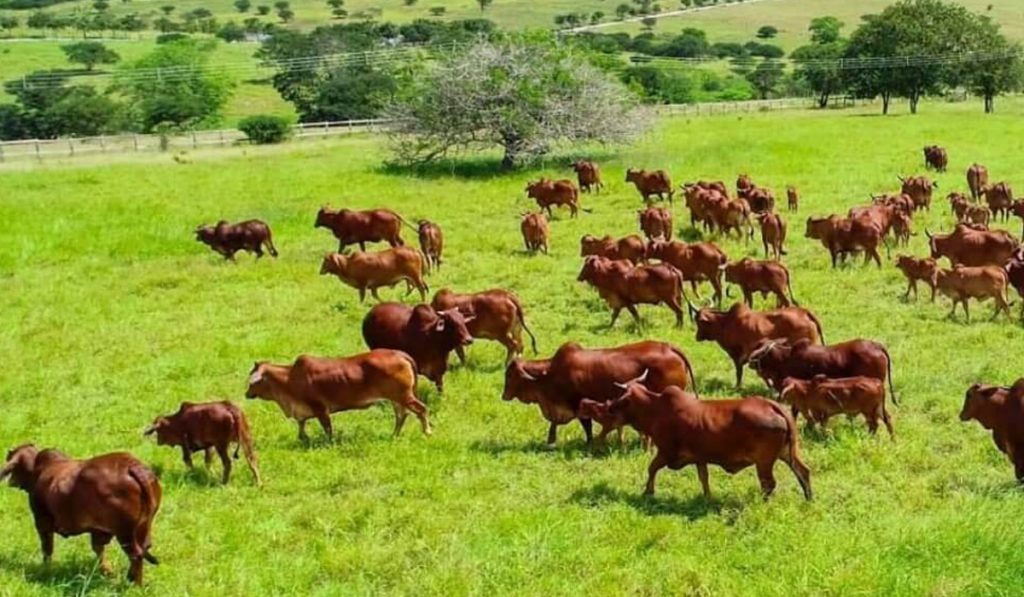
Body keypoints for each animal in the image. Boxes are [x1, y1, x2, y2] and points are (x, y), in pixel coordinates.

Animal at [0, 446, 159, 585]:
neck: (38, 471)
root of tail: (132, 466)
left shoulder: (42, 521)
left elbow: (47, 549)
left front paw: (45, 570)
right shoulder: (98, 531)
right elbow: (99, 550)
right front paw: (107, 572)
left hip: (124, 533)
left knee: (136, 554)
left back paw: (135, 584)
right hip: (143, 526)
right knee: (144, 548)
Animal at [246, 348, 432, 442]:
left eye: (252, 382)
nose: (247, 394)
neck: (289, 378)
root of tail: (402, 354)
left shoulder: (320, 408)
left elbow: (327, 428)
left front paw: (329, 442)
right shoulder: (303, 410)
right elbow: (301, 425)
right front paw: (303, 438)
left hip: (404, 396)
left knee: (421, 409)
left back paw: (427, 432)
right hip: (397, 398)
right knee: (402, 415)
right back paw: (394, 435)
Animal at [501, 342, 696, 448]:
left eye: (510, 375)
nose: (504, 395)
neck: (550, 374)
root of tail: (669, 347)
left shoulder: (577, 405)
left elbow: (586, 426)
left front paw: (588, 443)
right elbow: (554, 425)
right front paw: (551, 441)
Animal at [602, 382, 811, 499]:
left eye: (621, 399)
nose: (610, 407)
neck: (655, 409)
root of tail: (773, 406)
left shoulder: (666, 452)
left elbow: (651, 468)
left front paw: (648, 492)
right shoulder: (699, 458)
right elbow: (704, 478)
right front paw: (707, 497)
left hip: (764, 461)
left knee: (769, 484)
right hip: (788, 453)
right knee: (803, 472)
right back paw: (809, 499)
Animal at [688, 301, 823, 389]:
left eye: (699, 321)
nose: (697, 337)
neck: (725, 323)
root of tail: (804, 312)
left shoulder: (737, 355)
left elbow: (739, 372)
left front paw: (737, 387)